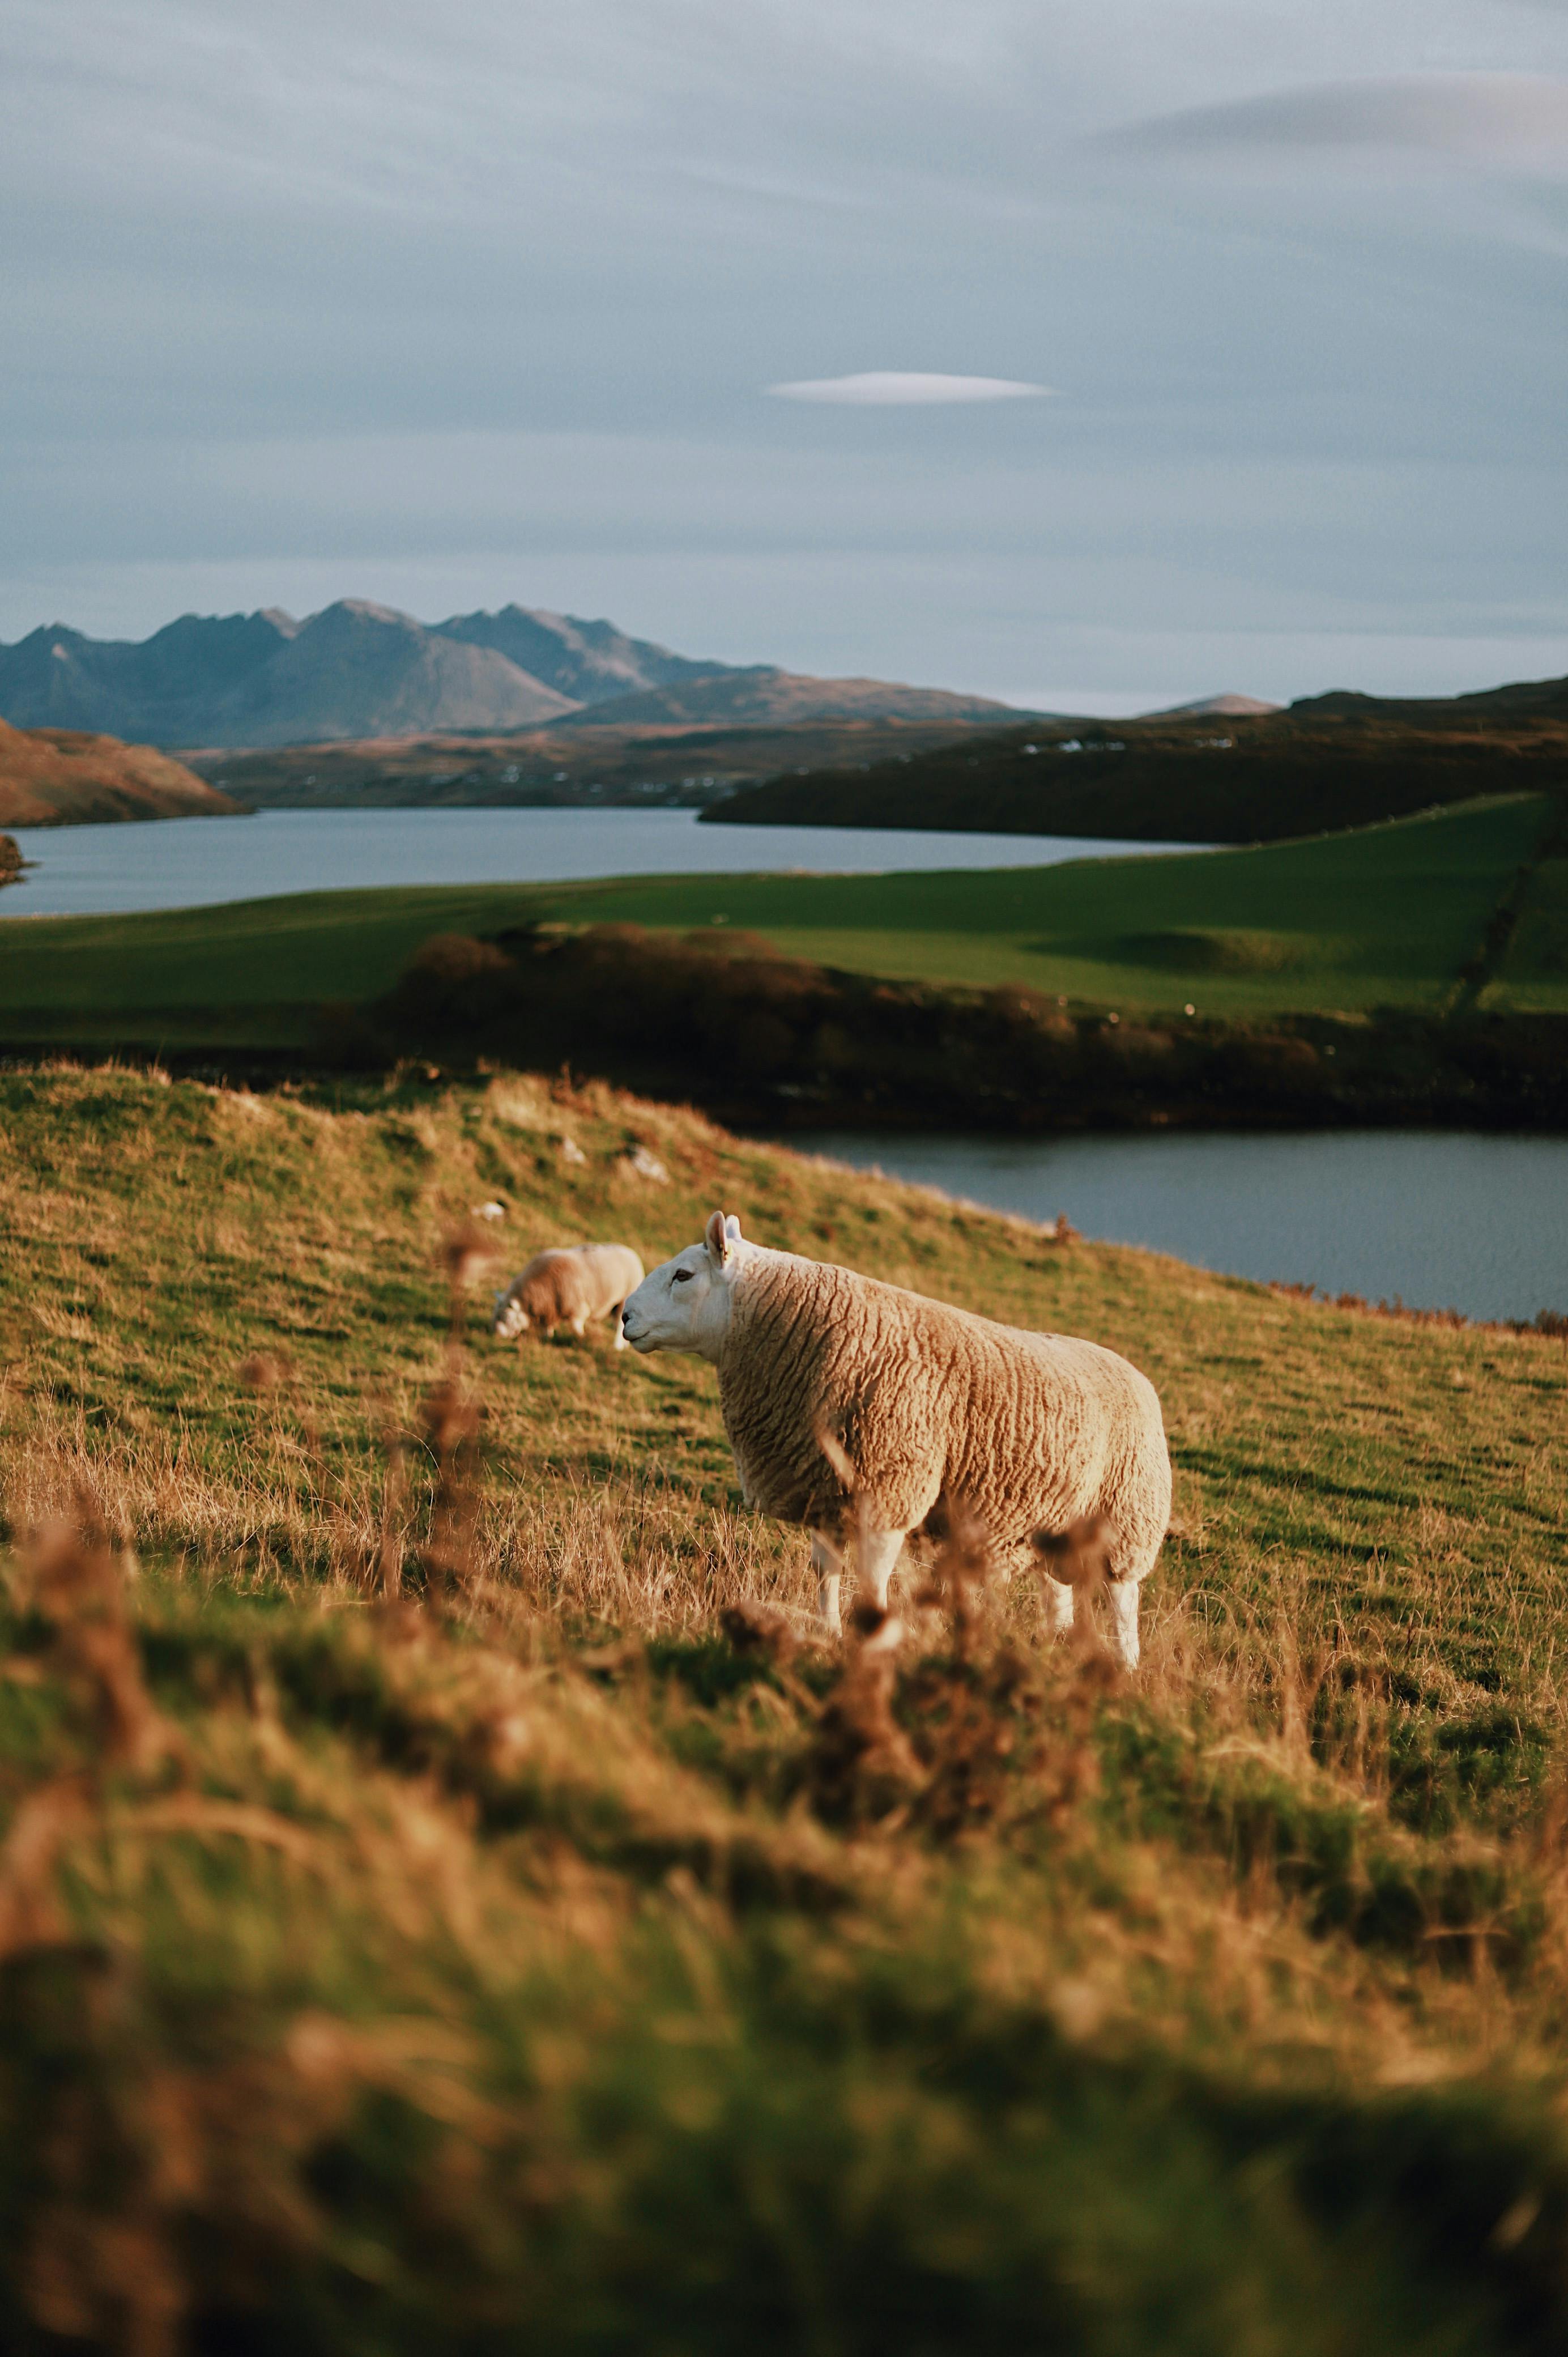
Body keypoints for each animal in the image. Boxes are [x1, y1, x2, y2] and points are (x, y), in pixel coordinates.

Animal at [492, 1244, 645, 1347]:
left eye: (507, 1317)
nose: (496, 1336)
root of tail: (631, 1252)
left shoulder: (578, 1310)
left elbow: (576, 1327)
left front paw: (581, 1339)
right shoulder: (550, 1309)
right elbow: (547, 1326)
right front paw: (547, 1337)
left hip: (623, 1301)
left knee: (619, 1325)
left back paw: (617, 1347)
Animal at [620, 1212, 1171, 1667]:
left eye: (684, 1276)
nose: (624, 1316)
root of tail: (1135, 1373)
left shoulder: (889, 1490)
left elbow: (872, 1580)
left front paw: (871, 1645)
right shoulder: (826, 1491)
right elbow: (826, 1573)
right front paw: (827, 1635)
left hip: (1127, 1519)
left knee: (1124, 1602)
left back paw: (1125, 1668)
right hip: (1052, 1522)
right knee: (1058, 1591)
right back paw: (1052, 1648)